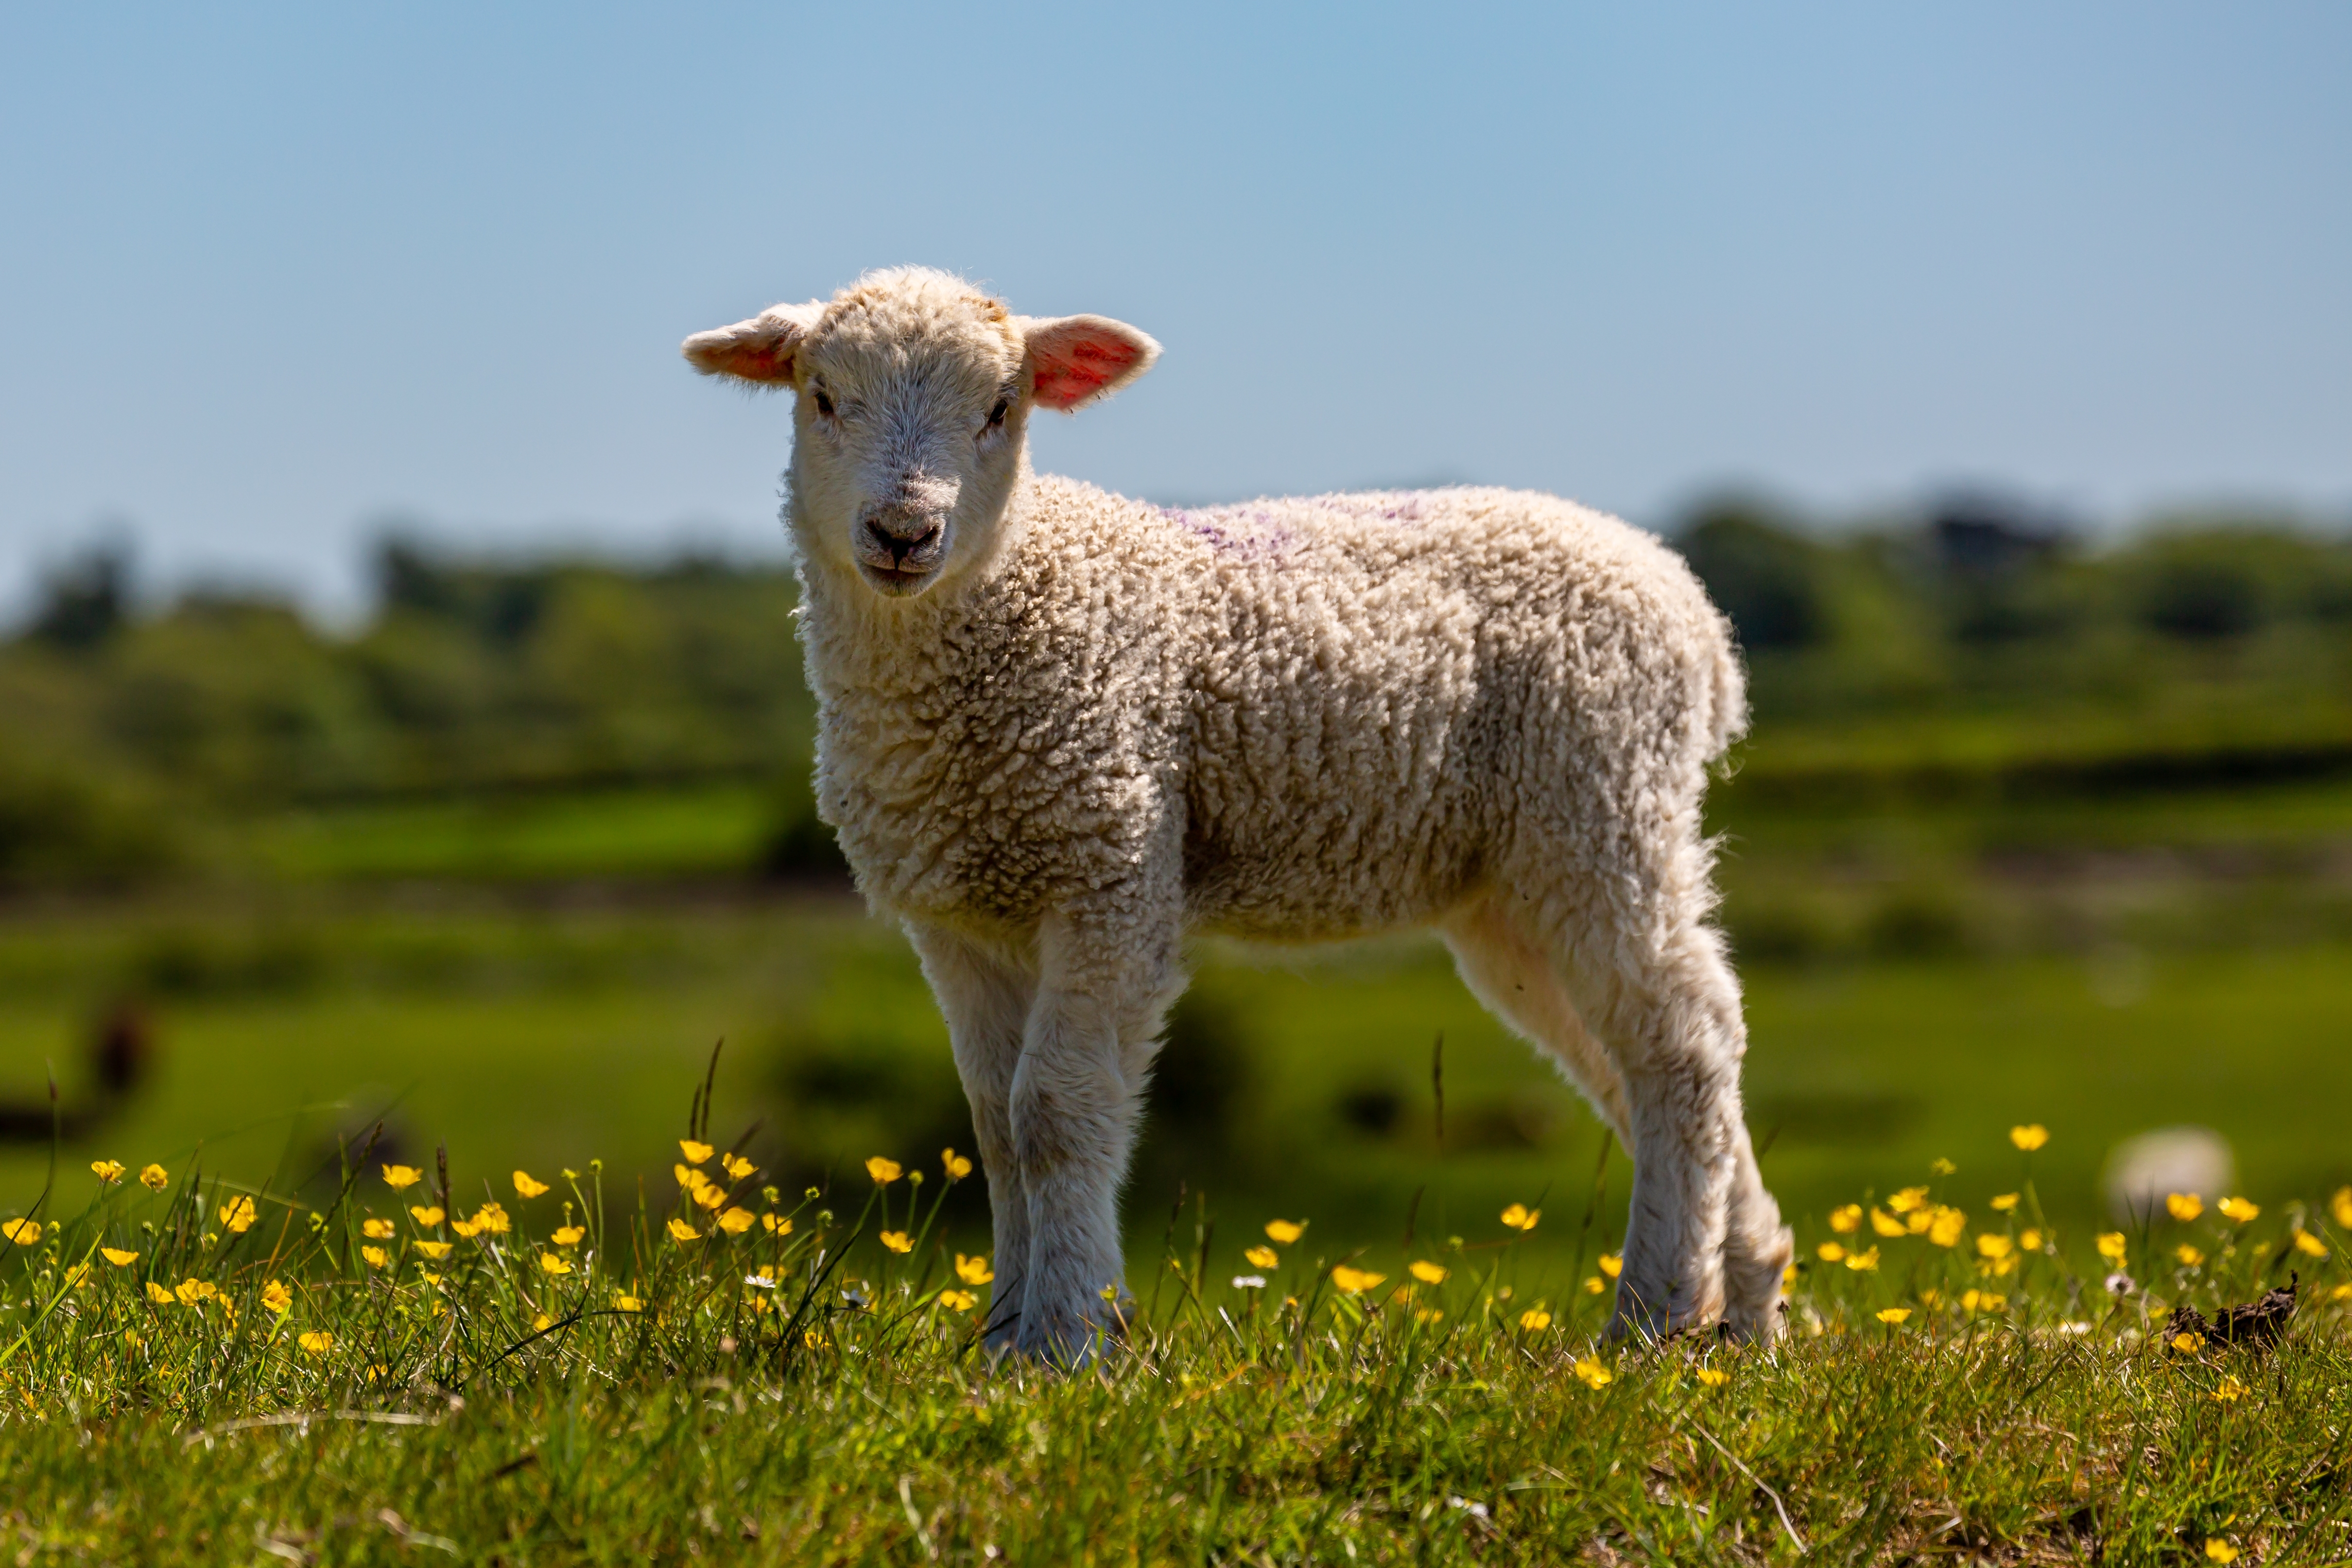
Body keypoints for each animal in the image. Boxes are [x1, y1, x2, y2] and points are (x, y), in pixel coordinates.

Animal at [684, 266, 1791, 1358]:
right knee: (1624, 1056)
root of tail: (1691, 610)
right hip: (1514, 886)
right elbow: (994, 1126)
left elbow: (1055, 1111)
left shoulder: (1111, 865)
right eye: (822, 397)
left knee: (1684, 1042)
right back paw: (1743, 1300)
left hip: (1600, 803)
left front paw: (1069, 1338)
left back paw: (1651, 1314)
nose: (904, 533)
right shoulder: (959, 913)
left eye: (1003, 407)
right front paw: (1000, 1340)